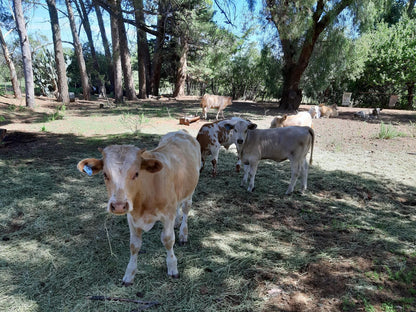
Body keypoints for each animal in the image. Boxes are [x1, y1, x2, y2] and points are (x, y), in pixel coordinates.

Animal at [78, 130, 203, 286]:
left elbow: (168, 240)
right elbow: (134, 245)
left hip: (190, 191)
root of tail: (181, 132)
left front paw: (172, 267)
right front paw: (129, 274)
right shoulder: (131, 217)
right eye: (105, 174)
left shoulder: (167, 214)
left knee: (186, 209)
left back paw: (183, 233)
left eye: (136, 173)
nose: (118, 206)